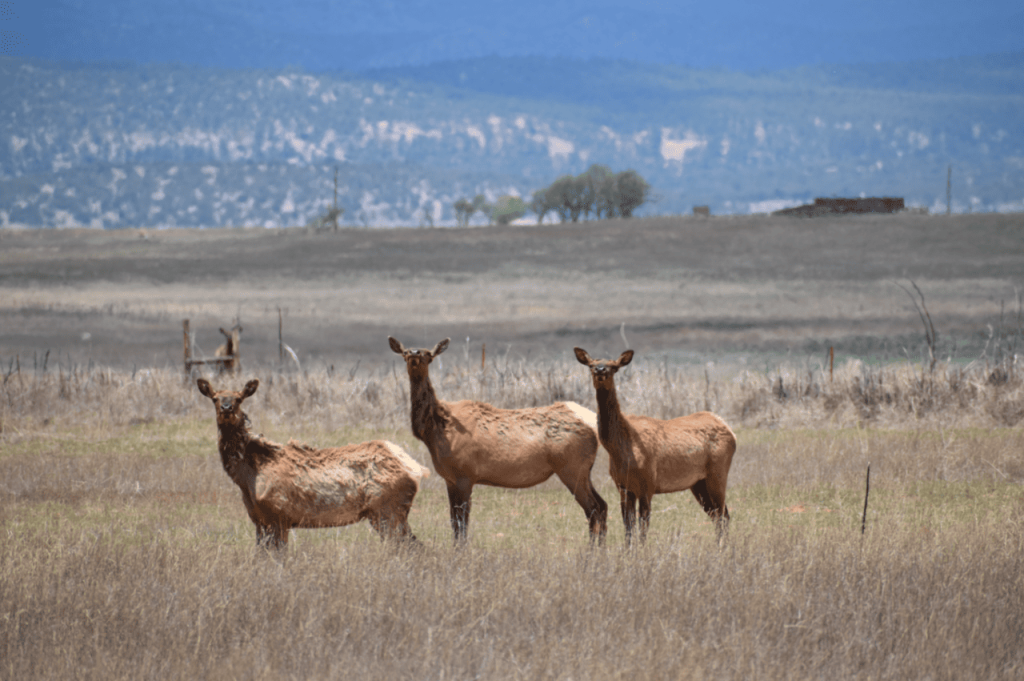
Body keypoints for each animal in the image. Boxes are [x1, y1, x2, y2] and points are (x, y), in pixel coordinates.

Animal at [197, 377, 430, 550]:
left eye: (239, 398)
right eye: (215, 398)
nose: (226, 408)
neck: (248, 477)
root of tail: (416, 469)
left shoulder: (279, 516)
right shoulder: (259, 520)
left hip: (387, 510)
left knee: (410, 547)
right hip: (390, 512)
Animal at [389, 336, 608, 545]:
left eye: (429, 354)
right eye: (405, 352)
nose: (415, 353)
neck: (434, 431)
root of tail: (591, 423)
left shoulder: (464, 475)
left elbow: (462, 522)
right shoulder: (450, 479)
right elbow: (454, 522)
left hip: (571, 468)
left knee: (593, 508)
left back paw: (591, 551)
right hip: (583, 471)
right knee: (603, 505)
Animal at [574, 348, 736, 546]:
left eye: (614, 366)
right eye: (591, 365)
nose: (600, 370)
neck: (621, 449)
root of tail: (730, 431)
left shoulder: (648, 483)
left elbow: (643, 526)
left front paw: (642, 551)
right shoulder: (623, 486)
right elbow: (628, 526)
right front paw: (628, 551)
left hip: (718, 472)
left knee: (723, 514)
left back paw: (722, 548)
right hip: (698, 483)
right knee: (717, 514)